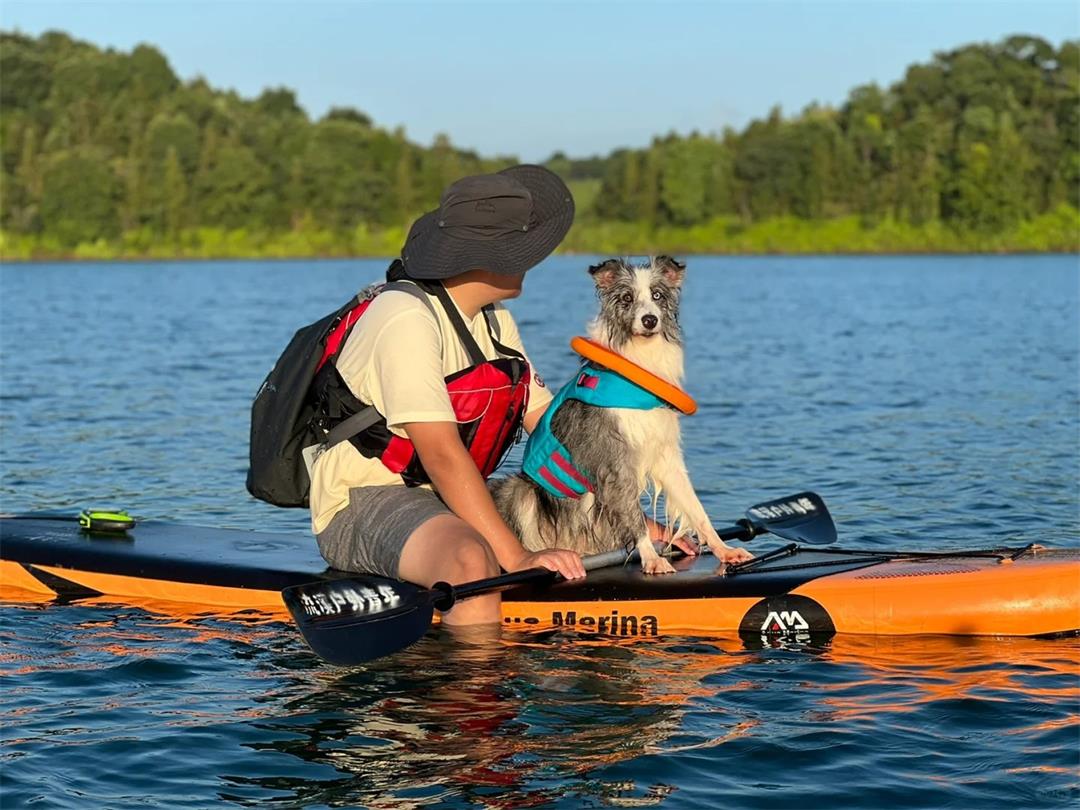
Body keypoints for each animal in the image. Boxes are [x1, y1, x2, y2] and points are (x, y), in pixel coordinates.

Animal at [490, 257, 751, 574]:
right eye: (627, 298)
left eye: (657, 295)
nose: (649, 320)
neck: (639, 367)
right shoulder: (614, 459)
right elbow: (633, 513)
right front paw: (652, 558)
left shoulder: (666, 454)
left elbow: (695, 507)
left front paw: (724, 549)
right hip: (519, 489)